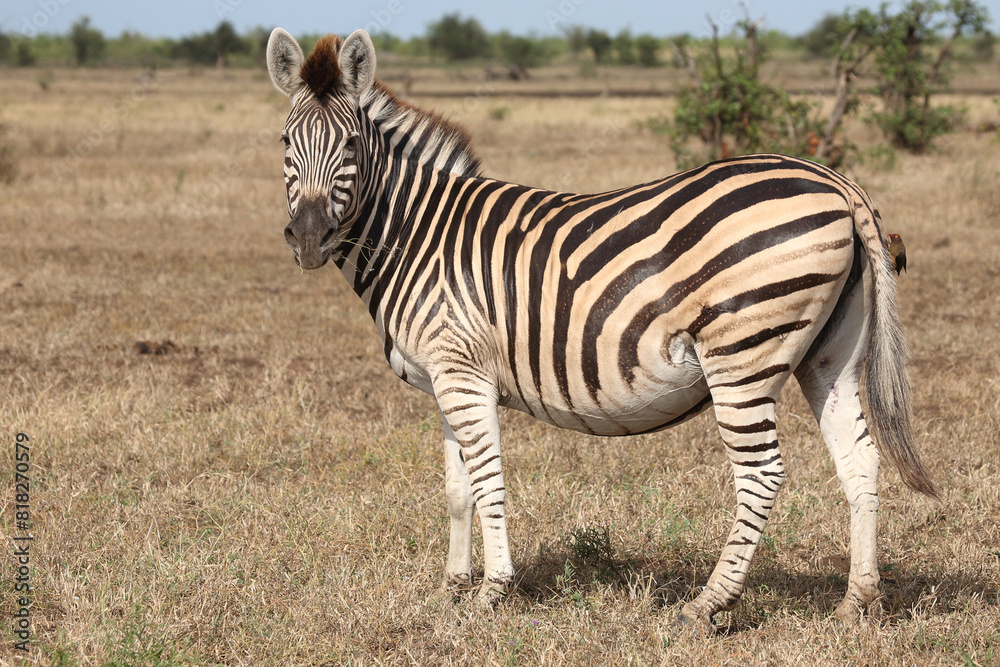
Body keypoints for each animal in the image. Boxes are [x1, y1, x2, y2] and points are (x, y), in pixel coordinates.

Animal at [265, 28, 937, 631]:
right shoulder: (445, 377)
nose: (307, 238)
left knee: (760, 476)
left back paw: (706, 606)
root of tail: (837, 182)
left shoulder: (463, 372)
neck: (420, 233)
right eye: (285, 141)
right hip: (830, 355)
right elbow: (457, 488)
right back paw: (858, 603)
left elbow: (487, 482)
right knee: (860, 460)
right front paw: (452, 589)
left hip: (741, 357)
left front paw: (491, 593)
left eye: (352, 144)